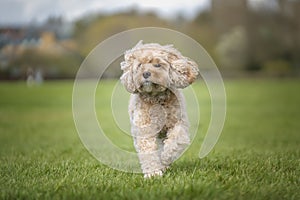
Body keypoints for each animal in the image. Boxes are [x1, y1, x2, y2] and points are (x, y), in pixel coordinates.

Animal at [119, 41, 199, 178]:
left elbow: (175, 140)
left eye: (157, 65)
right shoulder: (144, 129)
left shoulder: (179, 123)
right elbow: (148, 150)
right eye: (140, 65)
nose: (146, 73)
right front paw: (153, 173)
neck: (157, 98)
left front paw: (166, 157)